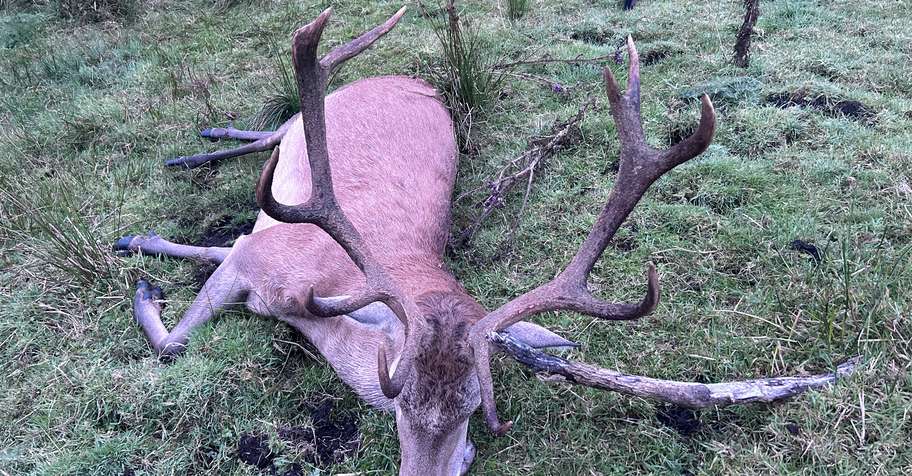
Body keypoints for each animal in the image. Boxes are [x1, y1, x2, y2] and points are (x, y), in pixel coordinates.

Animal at [115, 6, 858, 475]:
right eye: (396, 394)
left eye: (476, 405)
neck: (310, 301)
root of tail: (413, 75)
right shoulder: (259, 258)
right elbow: (176, 343)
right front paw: (149, 287)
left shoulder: (262, 260)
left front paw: (147, 252)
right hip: (308, 120)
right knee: (275, 130)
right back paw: (201, 147)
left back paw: (147, 229)